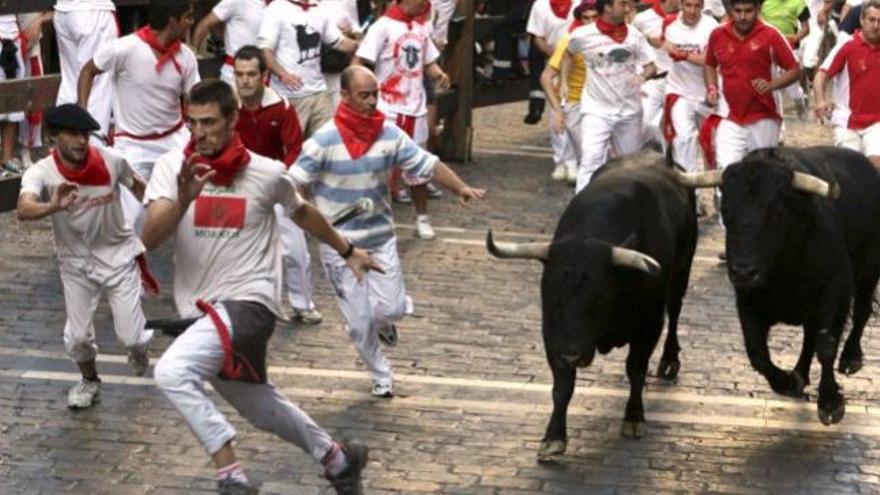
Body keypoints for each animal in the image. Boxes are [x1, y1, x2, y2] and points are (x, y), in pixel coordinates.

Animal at [484, 153, 696, 464]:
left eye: (599, 299)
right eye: (552, 297)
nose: (572, 355)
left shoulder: (649, 325)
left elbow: (636, 368)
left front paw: (634, 418)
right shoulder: (553, 334)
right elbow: (562, 387)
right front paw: (553, 438)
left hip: (682, 273)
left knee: (676, 309)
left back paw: (669, 360)